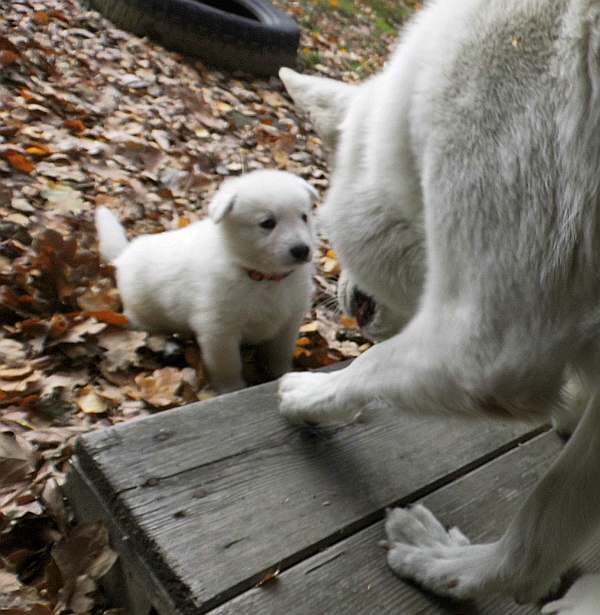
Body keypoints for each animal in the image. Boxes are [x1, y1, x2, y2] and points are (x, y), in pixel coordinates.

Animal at [96, 168, 316, 392]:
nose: (302, 250)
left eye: (304, 217)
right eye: (267, 223)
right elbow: (228, 365)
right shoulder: (219, 330)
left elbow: (280, 354)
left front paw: (285, 375)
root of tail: (123, 257)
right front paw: (232, 388)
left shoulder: (289, 322)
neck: (264, 278)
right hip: (142, 315)